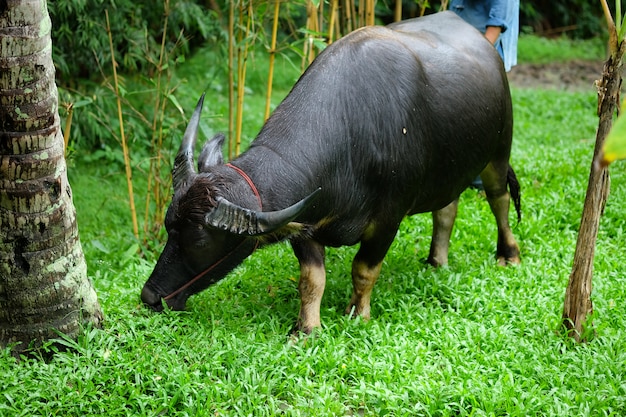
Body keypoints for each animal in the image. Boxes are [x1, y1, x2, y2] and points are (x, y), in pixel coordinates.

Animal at [144, 11, 520, 334]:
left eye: (200, 240)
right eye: (167, 225)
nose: (150, 296)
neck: (351, 141)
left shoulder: (387, 220)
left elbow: (364, 270)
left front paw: (358, 313)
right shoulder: (305, 223)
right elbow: (311, 279)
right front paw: (307, 328)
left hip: (498, 153)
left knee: (499, 200)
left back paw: (509, 255)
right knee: (446, 209)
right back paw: (436, 261)